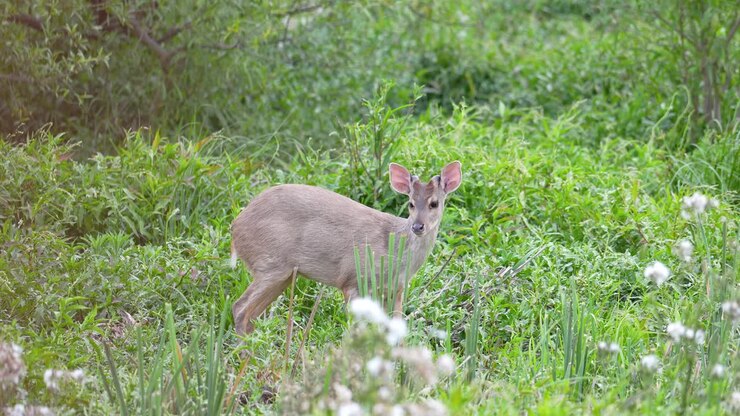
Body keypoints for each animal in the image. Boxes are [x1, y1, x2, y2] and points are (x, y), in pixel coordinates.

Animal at [229, 161, 462, 336]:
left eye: (434, 203)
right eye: (411, 204)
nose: (417, 226)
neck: (394, 250)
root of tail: (235, 228)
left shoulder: (396, 289)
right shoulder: (352, 280)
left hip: (283, 274)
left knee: (250, 315)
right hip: (271, 263)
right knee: (239, 308)